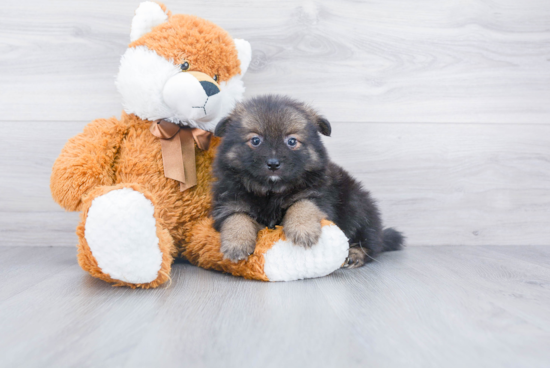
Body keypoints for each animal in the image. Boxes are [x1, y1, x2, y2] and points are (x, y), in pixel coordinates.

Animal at [211, 95, 406, 268]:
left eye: (291, 141)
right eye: (255, 140)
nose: (273, 164)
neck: (271, 191)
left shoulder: (317, 195)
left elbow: (302, 205)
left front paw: (302, 230)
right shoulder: (228, 204)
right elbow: (237, 218)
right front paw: (237, 243)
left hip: (359, 209)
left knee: (372, 243)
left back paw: (355, 254)